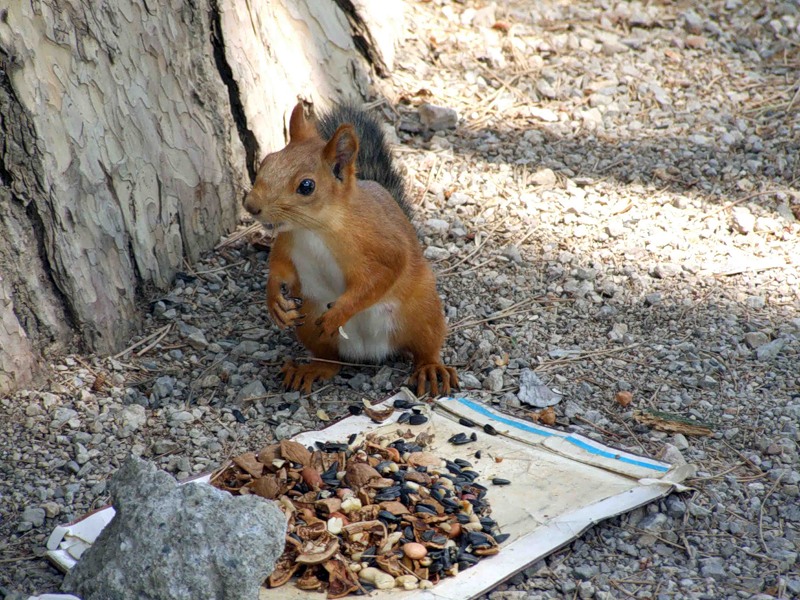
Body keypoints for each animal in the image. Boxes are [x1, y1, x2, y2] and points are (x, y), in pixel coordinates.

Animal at [242, 101, 456, 396]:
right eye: (266, 162)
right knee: (330, 359)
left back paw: (430, 369)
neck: (314, 230)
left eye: (306, 186)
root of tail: (371, 351)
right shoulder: (287, 244)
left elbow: (382, 276)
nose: (251, 206)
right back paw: (311, 369)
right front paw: (274, 300)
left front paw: (340, 312)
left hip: (423, 312)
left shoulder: (381, 244)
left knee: (427, 346)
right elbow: (278, 269)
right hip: (309, 323)